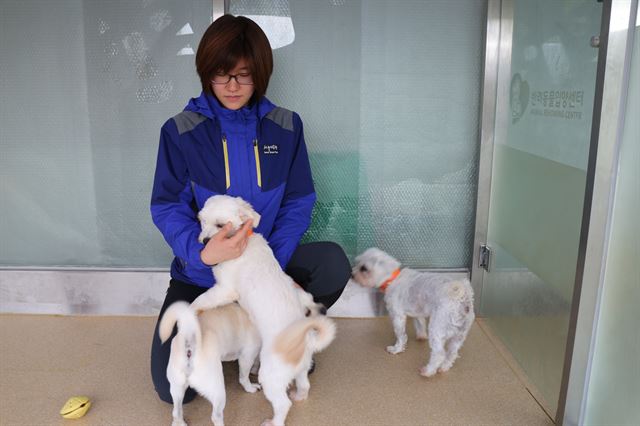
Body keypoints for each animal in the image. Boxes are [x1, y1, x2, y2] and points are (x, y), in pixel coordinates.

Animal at [190, 194, 338, 426]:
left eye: (221, 225)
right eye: (202, 221)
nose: (204, 242)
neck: (244, 242)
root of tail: (304, 342)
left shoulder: (225, 290)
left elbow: (202, 299)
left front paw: (191, 309)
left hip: (270, 376)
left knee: (283, 404)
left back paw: (273, 421)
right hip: (300, 370)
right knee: (304, 385)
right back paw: (299, 396)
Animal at [350, 248, 476, 378]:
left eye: (363, 268)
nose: (352, 275)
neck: (392, 279)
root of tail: (462, 297)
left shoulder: (398, 316)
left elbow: (400, 335)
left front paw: (396, 349)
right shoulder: (417, 312)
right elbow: (420, 324)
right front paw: (421, 336)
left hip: (437, 329)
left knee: (439, 354)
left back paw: (428, 371)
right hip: (459, 336)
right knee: (452, 353)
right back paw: (444, 367)